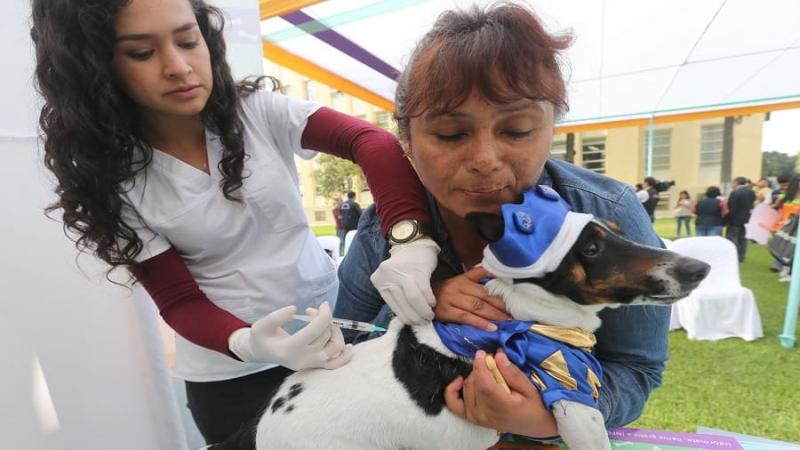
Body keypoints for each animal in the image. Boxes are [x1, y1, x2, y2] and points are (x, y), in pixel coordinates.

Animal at [211, 186, 708, 450]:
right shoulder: (576, 406)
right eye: (589, 248)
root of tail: (257, 429)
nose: (699, 268)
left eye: (619, 231)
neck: (522, 312)